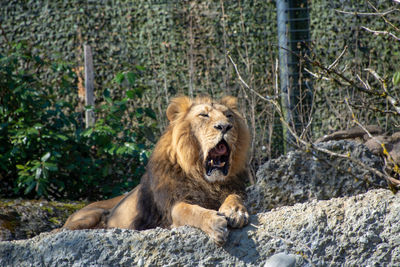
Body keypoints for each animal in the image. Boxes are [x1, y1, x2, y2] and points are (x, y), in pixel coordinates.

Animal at [59, 95, 250, 246]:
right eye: (204, 115)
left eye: (229, 116)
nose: (225, 126)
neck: (205, 180)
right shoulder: (170, 208)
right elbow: (188, 210)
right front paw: (214, 222)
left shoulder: (232, 188)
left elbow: (235, 196)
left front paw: (236, 211)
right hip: (91, 215)